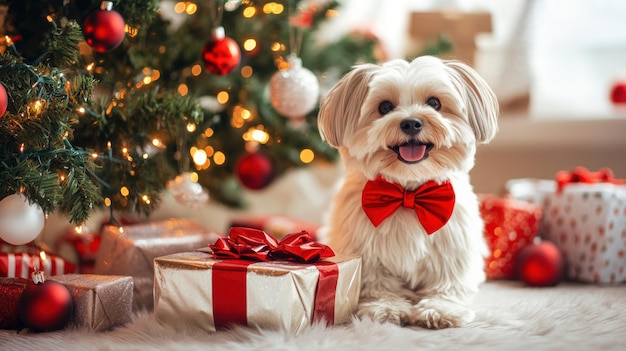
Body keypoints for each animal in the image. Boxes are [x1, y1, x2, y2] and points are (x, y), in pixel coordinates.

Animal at [316, 55, 498, 330]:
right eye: (385, 107)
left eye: (434, 103)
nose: (411, 122)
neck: (408, 194)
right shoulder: (368, 253)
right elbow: (378, 286)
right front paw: (385, 308)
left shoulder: (452, 250)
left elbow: (447, 285)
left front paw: (440, 309)